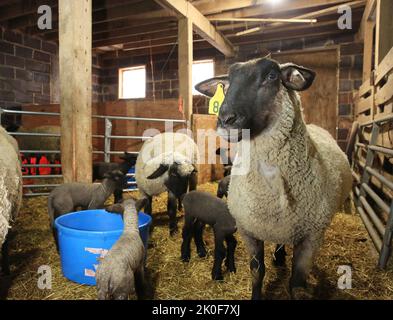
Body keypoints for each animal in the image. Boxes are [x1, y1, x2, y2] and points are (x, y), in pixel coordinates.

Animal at [196, 57, 352, 300]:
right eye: (228, 82)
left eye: (271, 76)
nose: (225, 119)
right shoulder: (248, 231)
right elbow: (257, 272)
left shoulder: (312, 237)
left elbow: (296, 284)